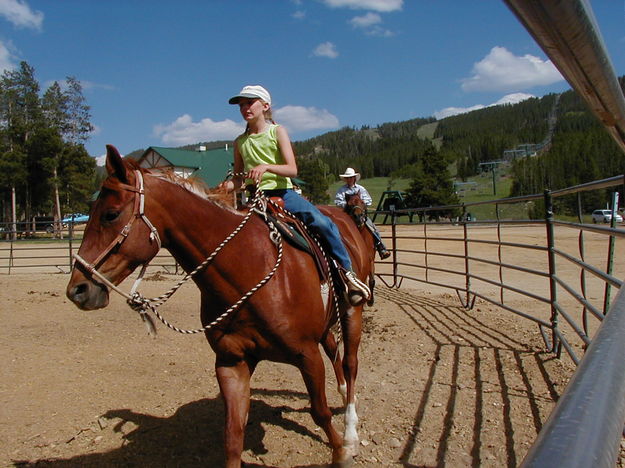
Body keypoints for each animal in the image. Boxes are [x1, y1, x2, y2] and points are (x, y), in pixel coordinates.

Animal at [67, 144, 370, 466]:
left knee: (350, 363)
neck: (249, 267)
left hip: (352, 311)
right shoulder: (231, 362)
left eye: (110, 214)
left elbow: (319, 411)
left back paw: (351, 428)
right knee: (335, 351)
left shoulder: (306, 355)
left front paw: (342, 451)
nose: (77, 290)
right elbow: (233, 433)